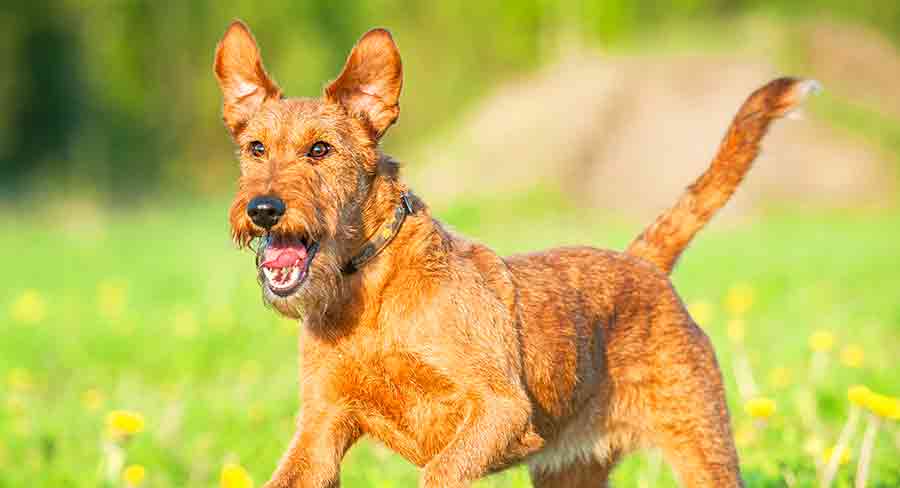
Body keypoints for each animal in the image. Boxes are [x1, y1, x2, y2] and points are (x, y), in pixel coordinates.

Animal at [214, 21, 820, 486]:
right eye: (255, 148)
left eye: (320, 149)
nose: (263, 209)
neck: (367, 289)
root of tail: (642, 262)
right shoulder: (320, 429)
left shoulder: (500, 409)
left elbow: (440, 469)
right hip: (570, 468)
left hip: (701, 443)